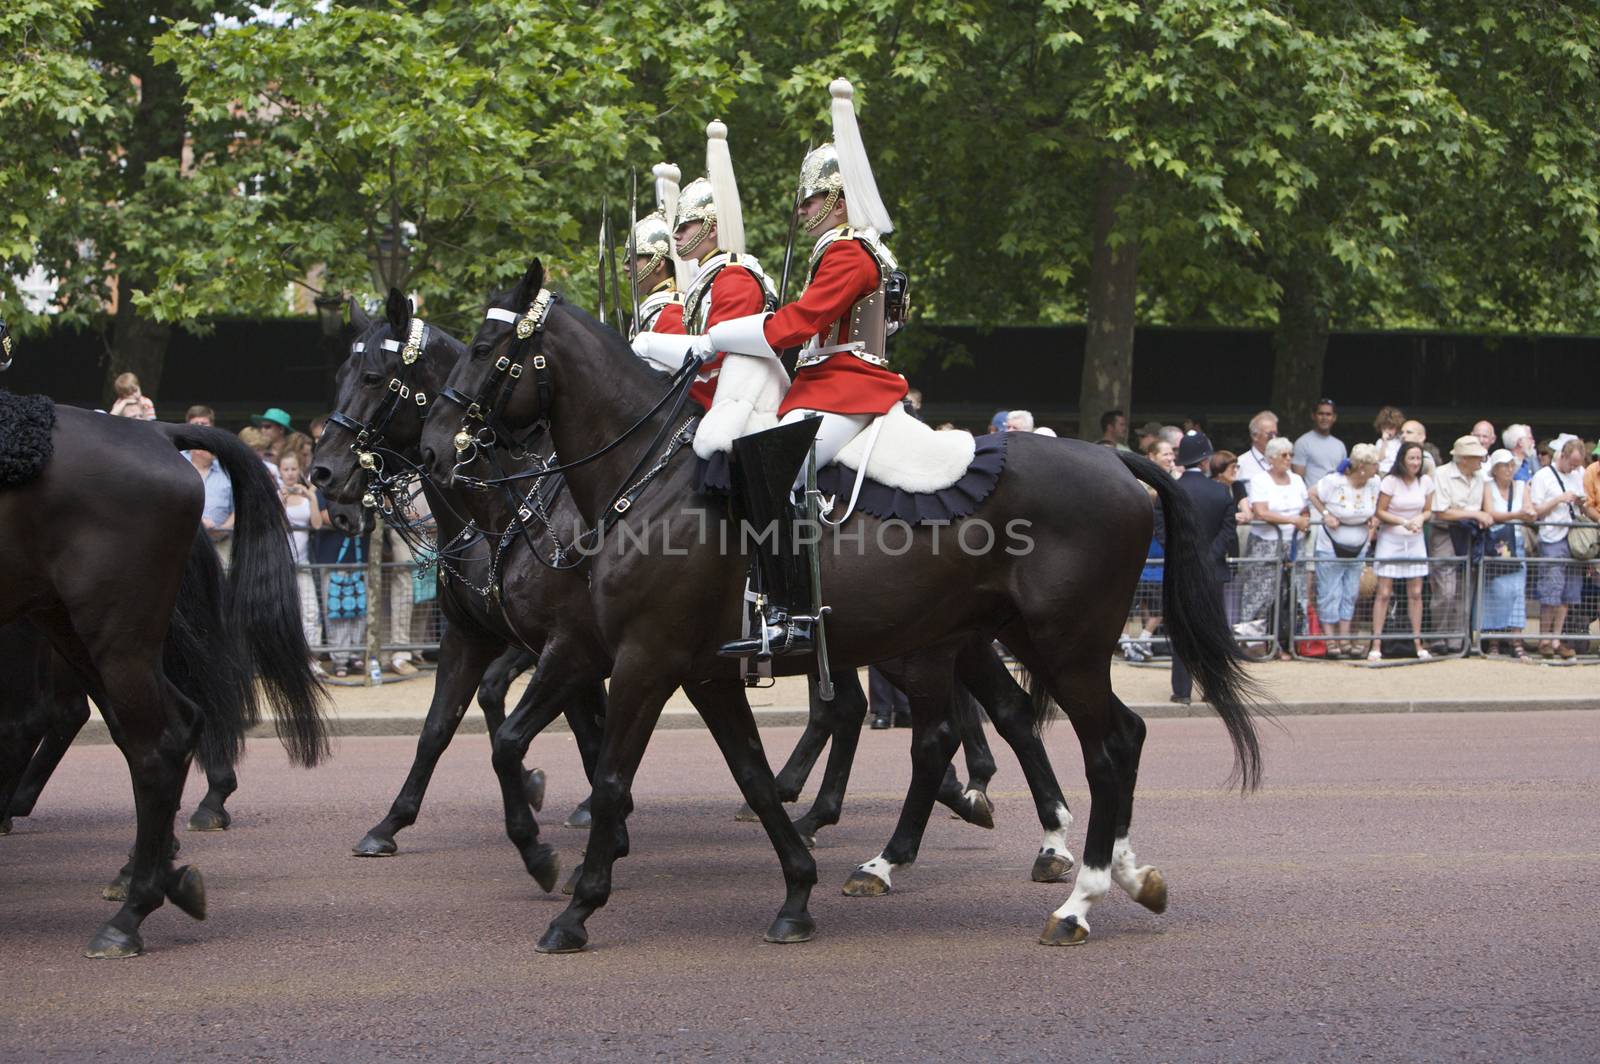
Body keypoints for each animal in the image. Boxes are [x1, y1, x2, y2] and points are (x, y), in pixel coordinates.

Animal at [308, 291, 608, 889]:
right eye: (339, 375)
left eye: (373, 376)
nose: (323, 475)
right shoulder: (472, 637)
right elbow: (440, 727)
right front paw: (389, 824)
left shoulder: (565, 646)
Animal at [422, 264, 1260, 947]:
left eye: (488, 351)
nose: (434, 449)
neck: (646, 481)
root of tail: (1114, 456)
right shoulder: (676, 665)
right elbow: (745, 776)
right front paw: (794, 893)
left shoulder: (642, 659)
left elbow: (609, 779)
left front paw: (575, 906)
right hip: (996, 640)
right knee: (1054, 733)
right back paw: (1109, 872)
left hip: (1062, 646)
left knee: (1103, 745)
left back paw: (1077, 899)